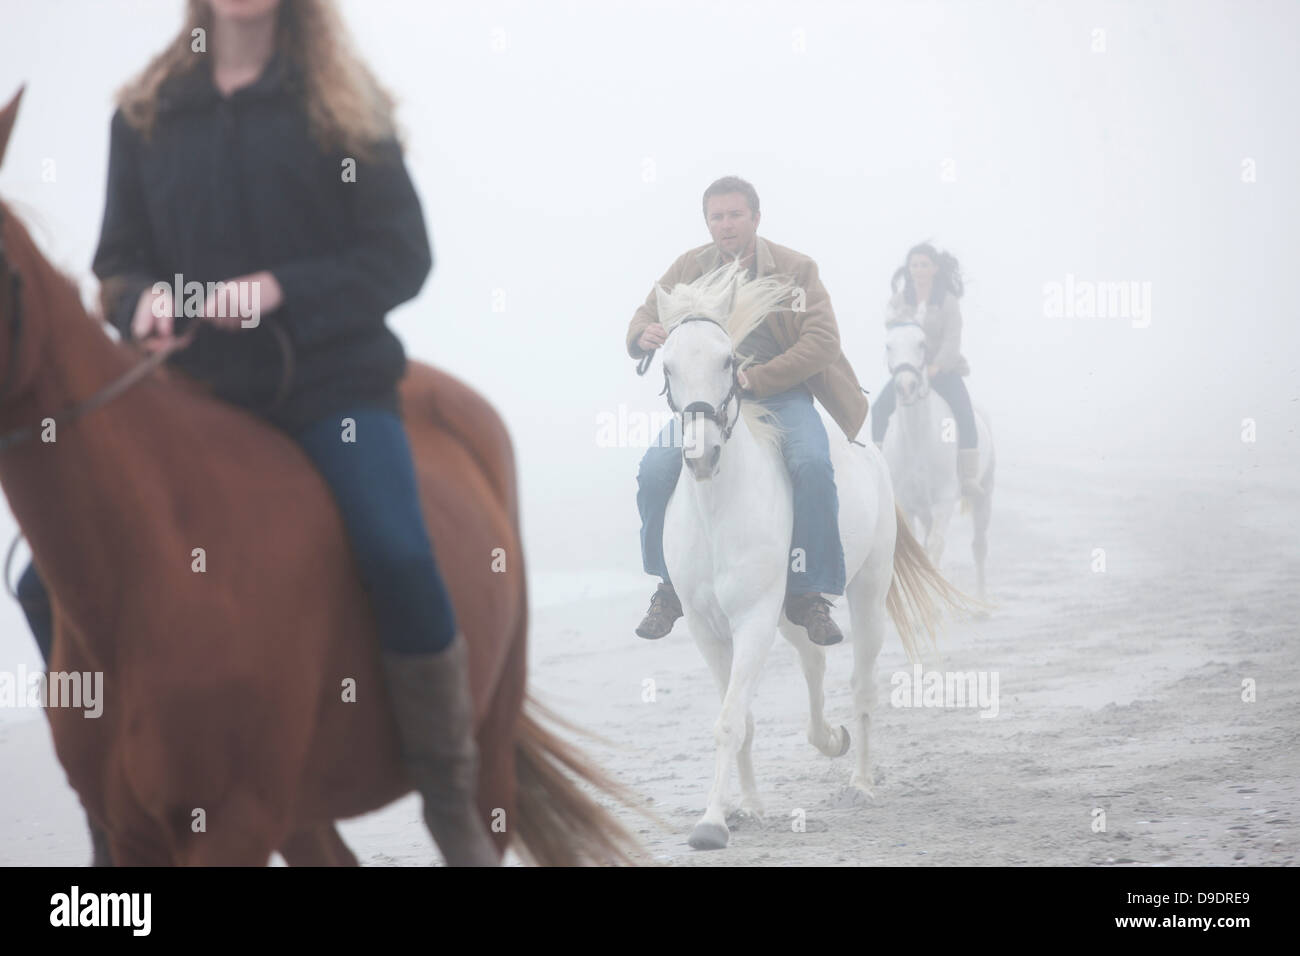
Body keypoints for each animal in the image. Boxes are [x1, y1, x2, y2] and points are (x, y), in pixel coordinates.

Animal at [655, 257, 972, 848]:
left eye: (729, 360)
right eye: (666, 366)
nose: (702, 455)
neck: (716, 511)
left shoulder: (753, 619)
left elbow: (730, 720)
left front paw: (711, 824)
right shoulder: (708, 629)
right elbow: (742, 719)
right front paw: (748, 808)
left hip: (866, 593)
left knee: (861, 683)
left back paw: (862, 781)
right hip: (790, 611)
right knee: (814, 659)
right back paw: (829, 738)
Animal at [883, 325, 993, 600]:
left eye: (921, 343)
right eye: (888, 345)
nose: (906, 386)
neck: (918, 441)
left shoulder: (944, 501)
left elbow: (934, 546)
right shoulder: (907, 504)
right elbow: (917, 550)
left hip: (984, 494)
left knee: (979, 547)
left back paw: (982, 599)